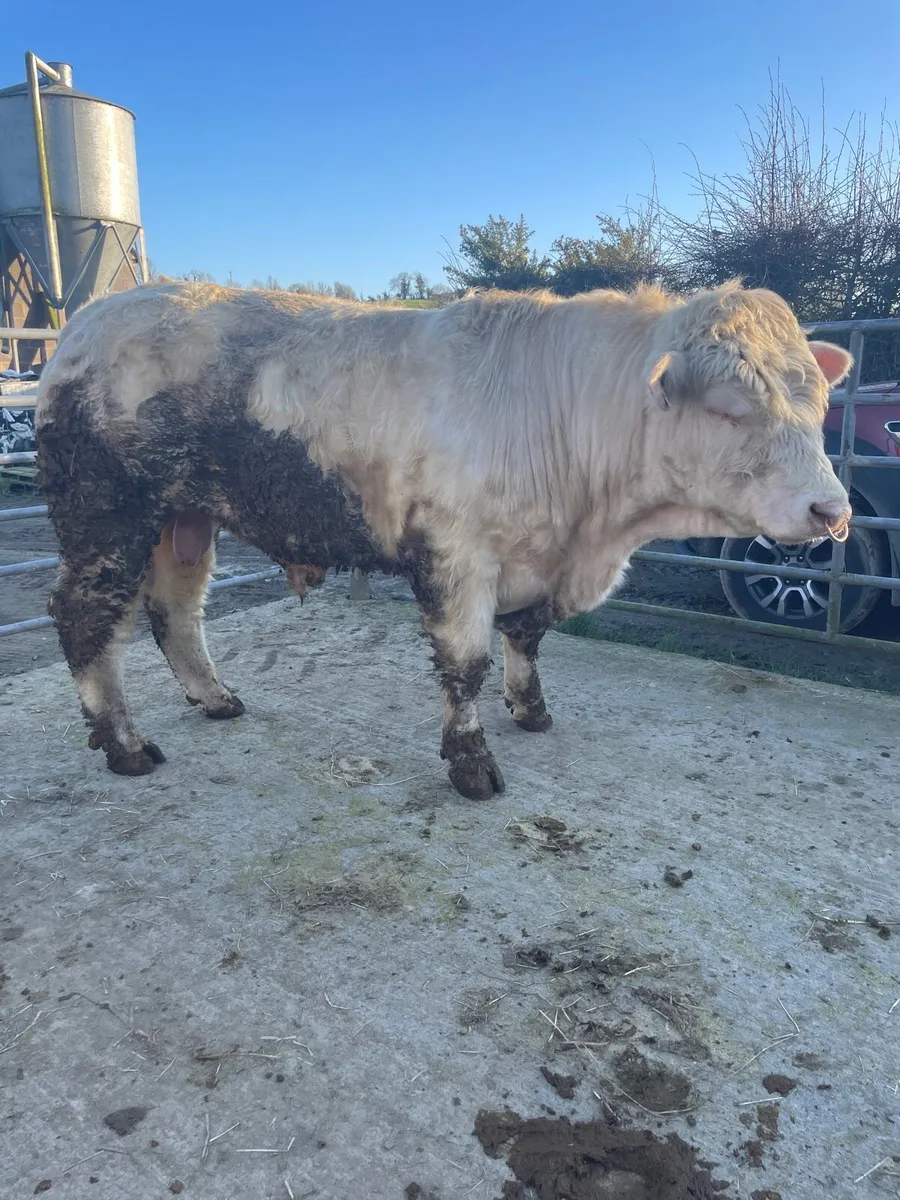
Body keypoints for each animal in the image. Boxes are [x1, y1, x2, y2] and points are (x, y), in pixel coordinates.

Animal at [35, 280, 852, 800]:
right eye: (727, 407)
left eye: (818, 398)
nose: (832, 510)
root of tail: (88, 320)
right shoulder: (458, 555)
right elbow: (466, 665)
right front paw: (471, 764)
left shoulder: (536, 558)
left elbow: (525, 640)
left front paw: (531, 711)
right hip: (106, 516)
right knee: (86, 618)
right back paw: (124, 744)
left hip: (185, 519)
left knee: (176, 612)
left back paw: (214, 698)